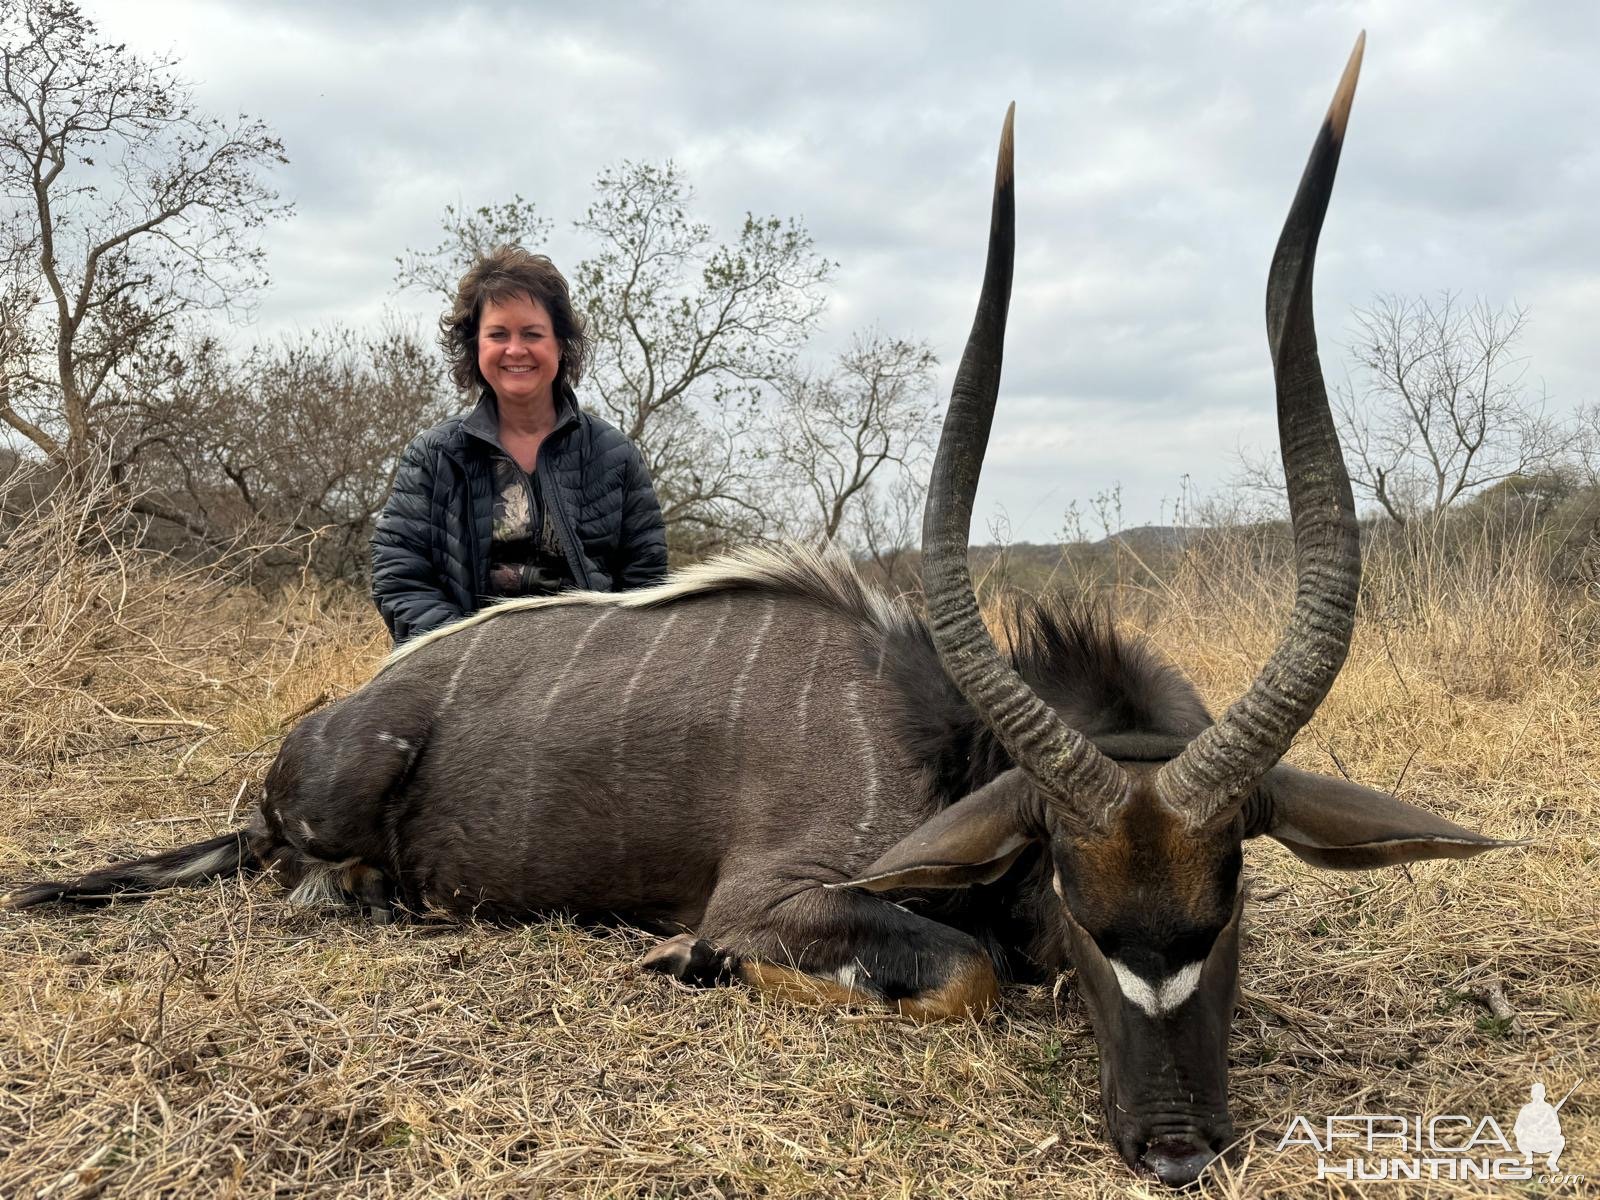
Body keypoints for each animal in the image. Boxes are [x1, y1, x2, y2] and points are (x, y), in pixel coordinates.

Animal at [9, 35, 1510, 1184]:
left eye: (1233, 891)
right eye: (1078, 902)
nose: (1177, 1146)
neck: (936, 729)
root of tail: (318, 734)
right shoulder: (777, 898)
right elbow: (963, 974)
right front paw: (682, 966)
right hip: (332, 822)